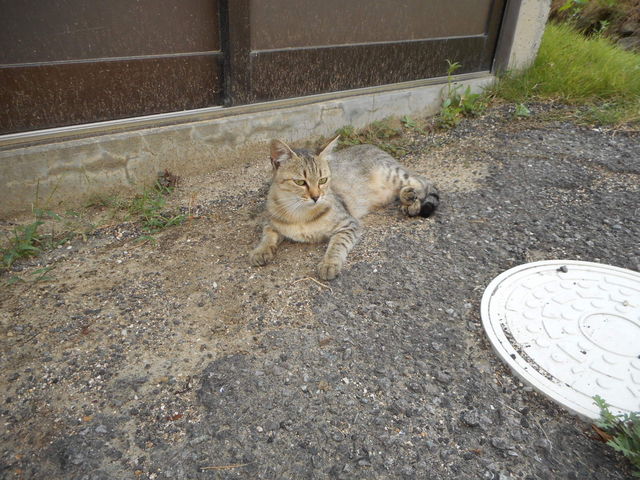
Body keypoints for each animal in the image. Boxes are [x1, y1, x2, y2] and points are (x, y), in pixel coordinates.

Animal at [250, 136, 439, 280]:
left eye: (323, 180)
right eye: (300, 182)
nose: (316, 197)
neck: (299, 213)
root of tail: (371, 145)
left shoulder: (348, 224)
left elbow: (337, 244)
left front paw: (329, 263)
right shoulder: (270, 221)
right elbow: (267, 235)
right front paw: (261, 250)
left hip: (394, 174)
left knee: (423, 182)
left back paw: (412, 201)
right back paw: (408, 199)